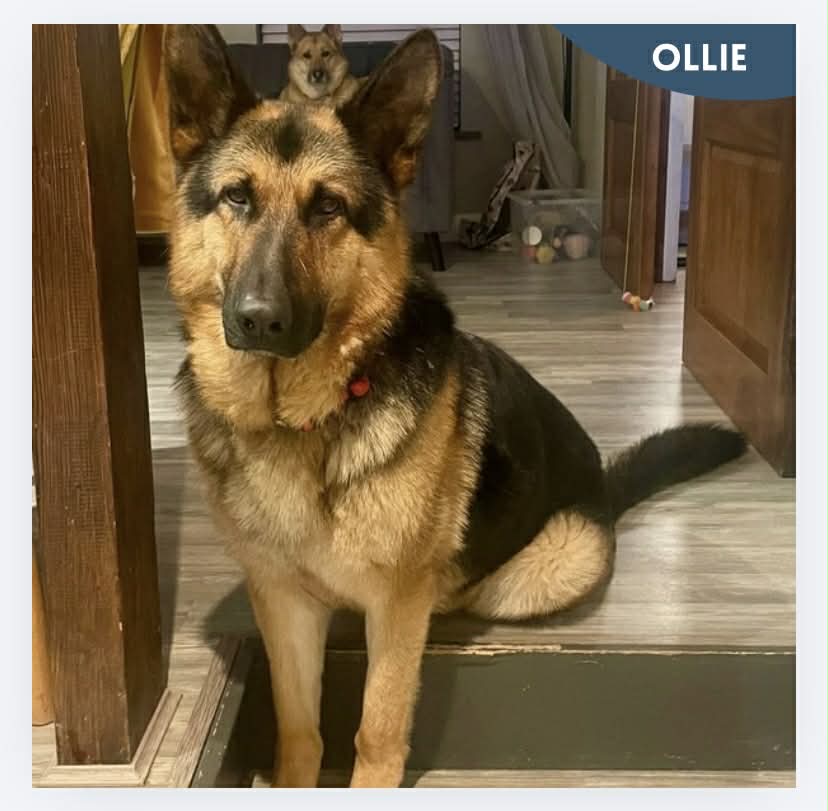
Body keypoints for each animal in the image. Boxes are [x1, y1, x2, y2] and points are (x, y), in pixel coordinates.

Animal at [163, 25, 746, 788]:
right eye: (236, 197)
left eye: (328, 208)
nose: (259, 320)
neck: (300, 421)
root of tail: (602, 487)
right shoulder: (282, 603)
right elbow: (299, 728)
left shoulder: (396, 606)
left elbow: (378, 728)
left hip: (544, 569)